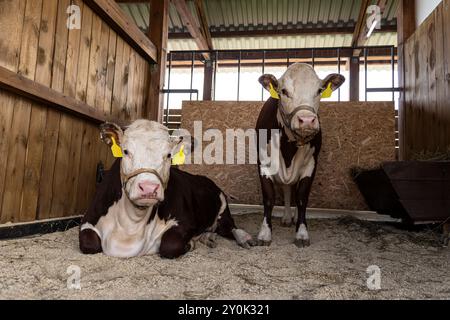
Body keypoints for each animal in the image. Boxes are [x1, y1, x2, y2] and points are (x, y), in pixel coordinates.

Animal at [77, 119, 253, 258]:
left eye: (168, 155)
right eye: (126, 151)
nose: (148, 188)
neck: (131, 226)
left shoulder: (185, 222)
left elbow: (170, 244)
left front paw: (190, 244)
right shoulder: (88, 219)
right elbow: (89, 243)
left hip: (223, 207)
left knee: (231, 227)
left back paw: (245, 239)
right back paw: (208, 238)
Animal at [255, 63, 346, 248]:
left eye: (319, 90)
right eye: (283, 91)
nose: (307, 120)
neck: (288, 149)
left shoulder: (311, 164)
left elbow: (302, 198)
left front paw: (302, 233)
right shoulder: (263, 163)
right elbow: (269, 198)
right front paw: (265, 233)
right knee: (287, 189)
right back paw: (286, 218)